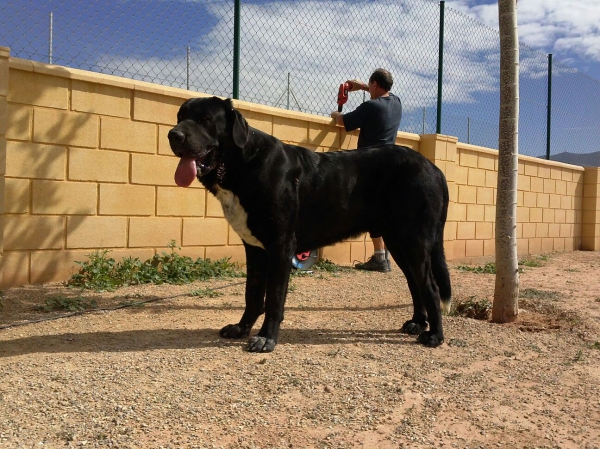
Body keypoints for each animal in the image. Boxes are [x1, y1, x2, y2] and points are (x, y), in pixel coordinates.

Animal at [169, 96, 450, 352]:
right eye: (180, 117)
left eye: (205, 119)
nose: (174, 135)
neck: (243, 163)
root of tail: (434, 168)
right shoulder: (255, 249)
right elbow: (252, 294)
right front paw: (242, 328)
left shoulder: (281, 247)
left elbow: (273, 299)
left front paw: (266, 338)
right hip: (399, 242)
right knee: (415, 284)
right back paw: (417, 323)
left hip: (414, 242)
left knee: (431, 287)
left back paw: (434, 335)